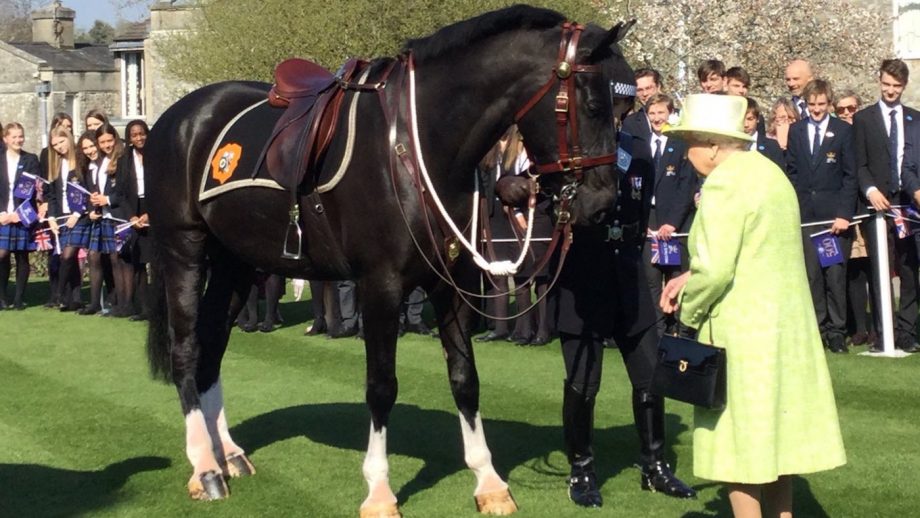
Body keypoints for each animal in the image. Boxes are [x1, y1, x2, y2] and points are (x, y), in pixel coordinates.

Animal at [144, 5, 636, 516]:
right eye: (593, 106)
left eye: (622, 109)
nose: (603, 204)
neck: (419, 151)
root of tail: (180, 115)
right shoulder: (379, 285)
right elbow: (381, 387)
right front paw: (379, 490)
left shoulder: (450, 282)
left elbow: (465, 379)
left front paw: (489, 481)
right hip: (184, 247)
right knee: (187, 349)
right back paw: (205, 467)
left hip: (237, 261)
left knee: (214, 344)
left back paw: (228, 453)